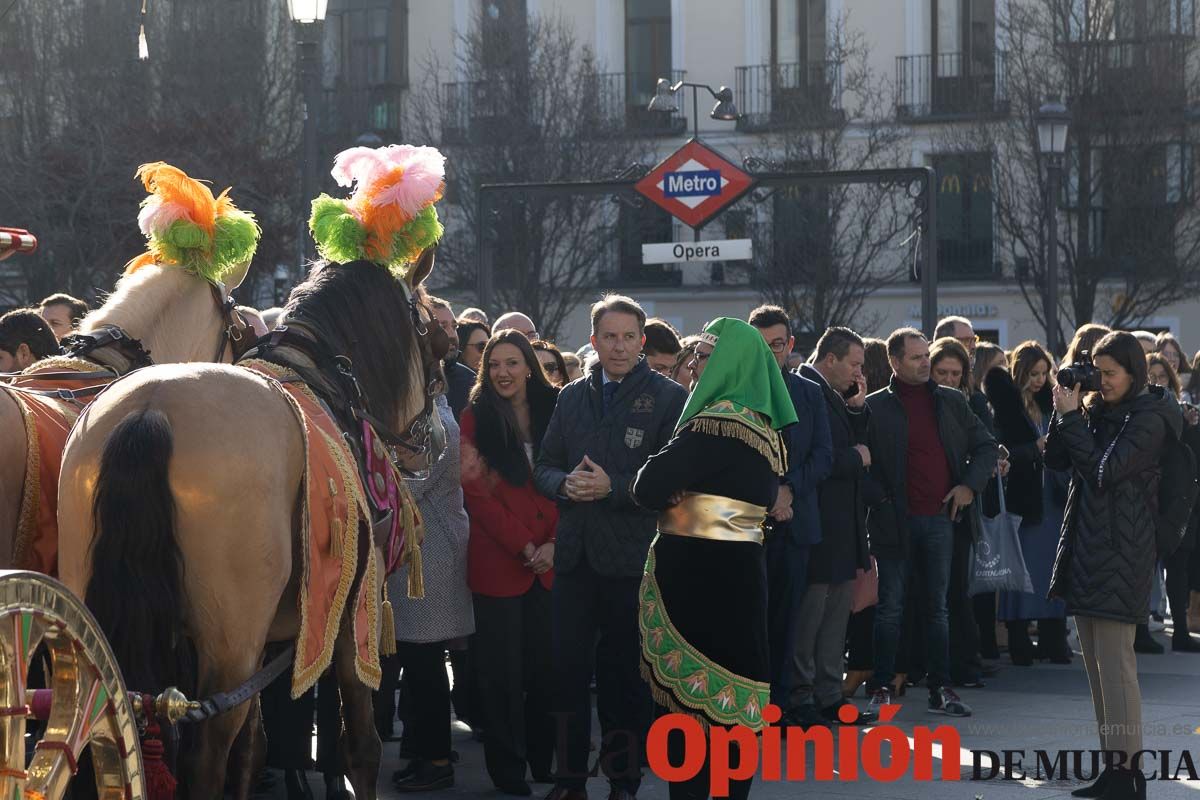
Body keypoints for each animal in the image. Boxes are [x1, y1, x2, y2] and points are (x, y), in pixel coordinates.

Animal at [58, 251, 444, 800]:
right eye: (437, 336)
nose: (434, 439)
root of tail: (151, 411)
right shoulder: (353, 612)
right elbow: (360, 745)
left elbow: (253, 749)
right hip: (230, 646)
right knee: (205, 757)